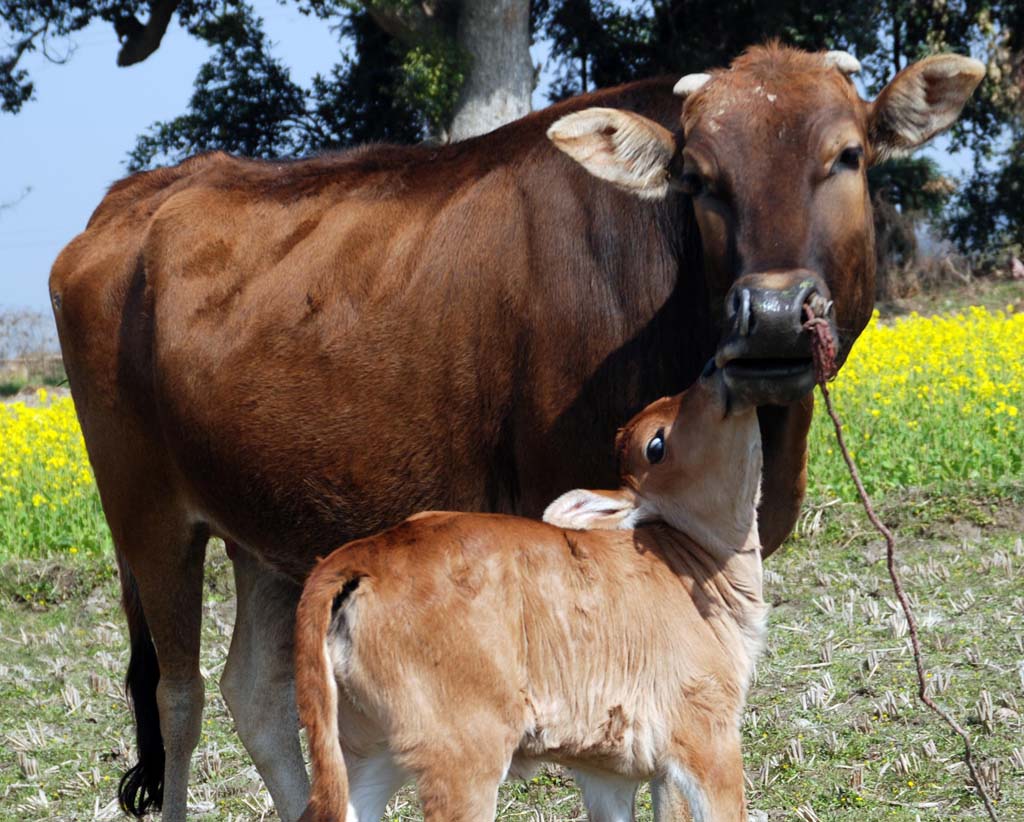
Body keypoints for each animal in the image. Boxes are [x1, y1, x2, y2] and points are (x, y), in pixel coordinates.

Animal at [292, 368, 765, 822]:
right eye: (656, 445)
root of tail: (369, 550)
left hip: (366, 748)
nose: (711, 370)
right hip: (462, 753)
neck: (693, 568)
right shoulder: (706, 731)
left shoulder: (605, 771)